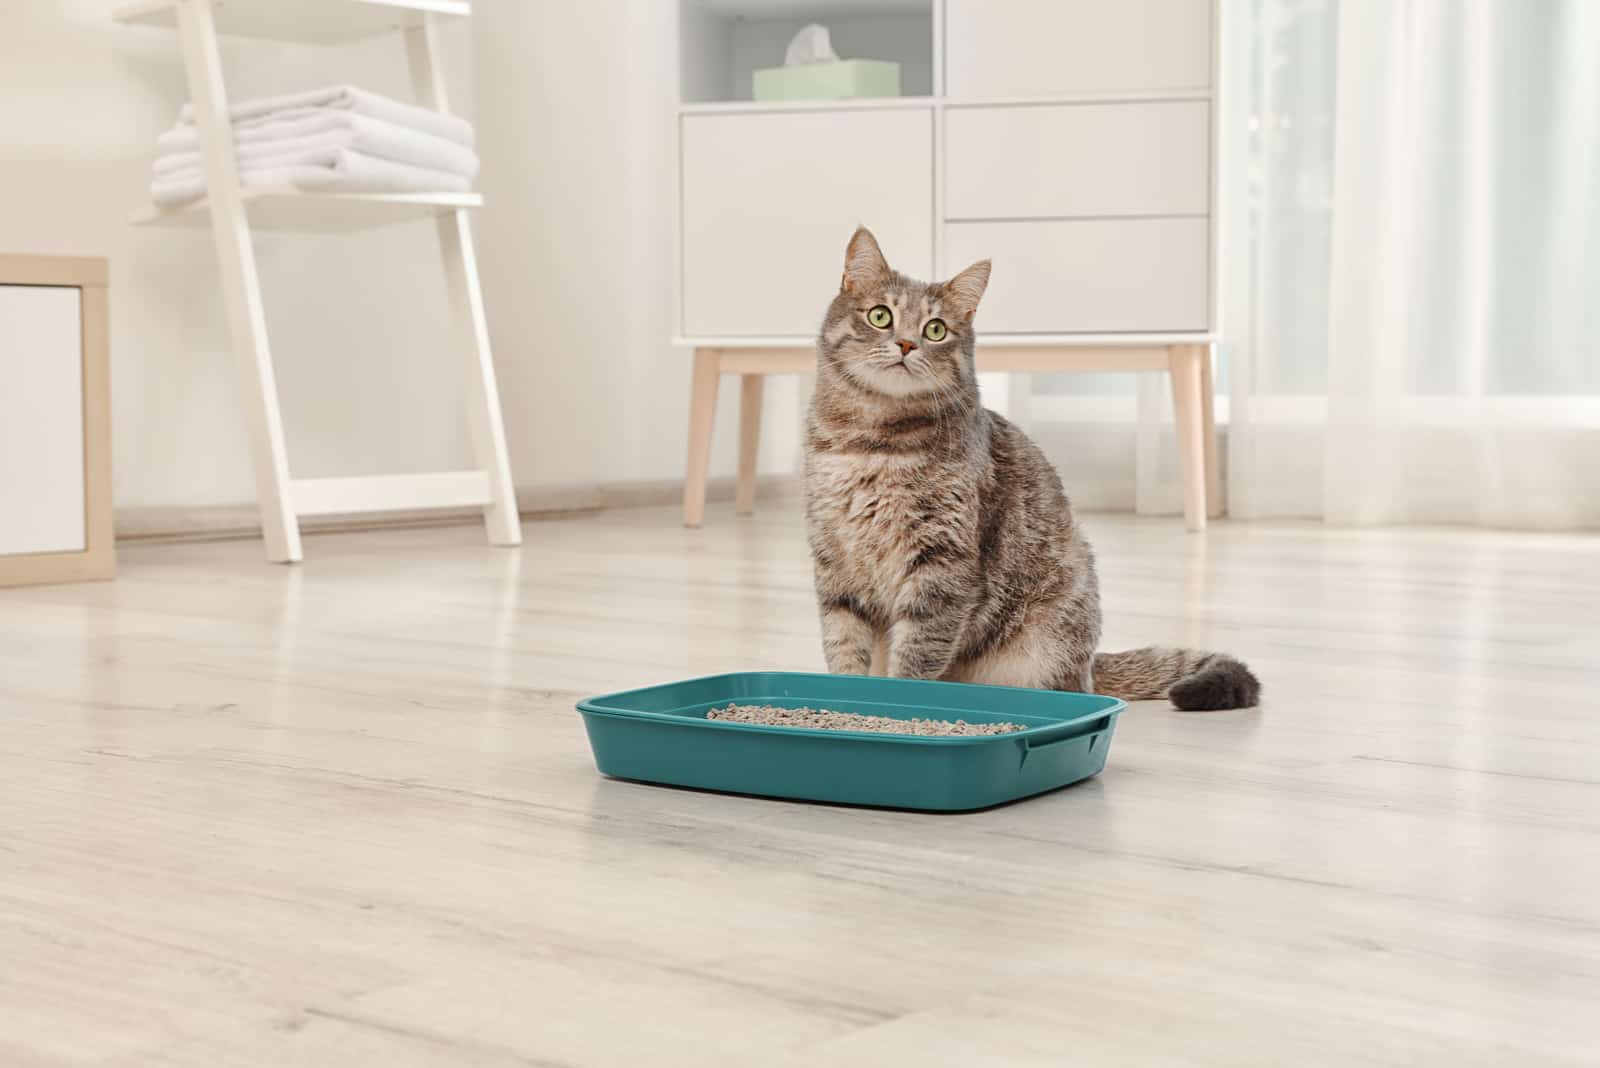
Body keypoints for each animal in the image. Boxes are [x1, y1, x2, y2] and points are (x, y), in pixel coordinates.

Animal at [806, 225, 1254, 709]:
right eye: (880, 316)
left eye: (935, 329)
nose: (907, 344)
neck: (871, 443)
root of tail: (1091, 664)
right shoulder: (835, 566)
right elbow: (844, 648)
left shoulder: (942, 567)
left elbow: (916, 657)